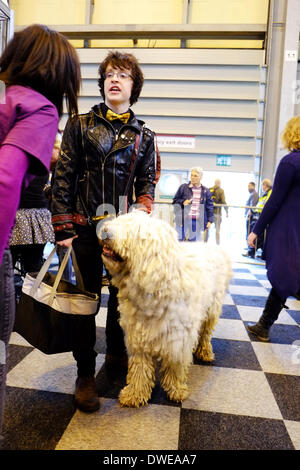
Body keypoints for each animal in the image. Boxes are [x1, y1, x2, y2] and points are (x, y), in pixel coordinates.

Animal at [98, 212, 232, 408]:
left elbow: (175, 366)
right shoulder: (138, 336)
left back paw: (205, 352)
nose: (105, 229)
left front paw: (176, 390)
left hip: (212, 308)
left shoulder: (177, 339)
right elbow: (140, 369)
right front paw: (135, 394)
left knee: (205, 333)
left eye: (133, 230)